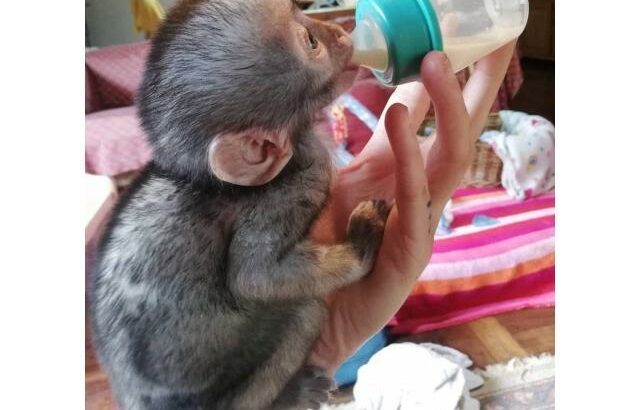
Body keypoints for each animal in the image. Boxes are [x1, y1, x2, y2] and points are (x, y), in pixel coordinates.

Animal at [89, 0, 391, 409]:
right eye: (312, 41)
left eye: (301, 13)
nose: (342, 32)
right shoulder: (290, 187)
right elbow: (254, 277)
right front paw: (362, 244)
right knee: (304, 309)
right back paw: (293, 393)